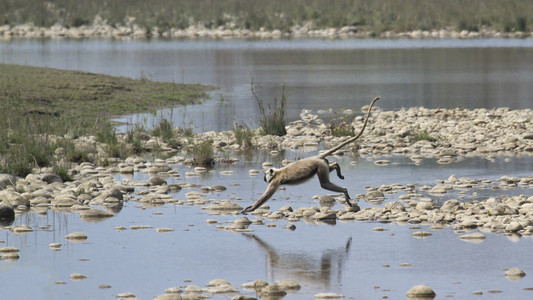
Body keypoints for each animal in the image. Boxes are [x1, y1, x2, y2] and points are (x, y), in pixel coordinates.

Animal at [241, 96, 378, 213]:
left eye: (265, 176)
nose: (264, 178)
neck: (278, 172)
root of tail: (315, 157)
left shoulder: (275, 181)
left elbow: (265, 197)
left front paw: (250, 209)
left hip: (320, 166)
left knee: (324, 184)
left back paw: (344, 190)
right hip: (323, 164)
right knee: (329, 168)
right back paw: (337, 167)